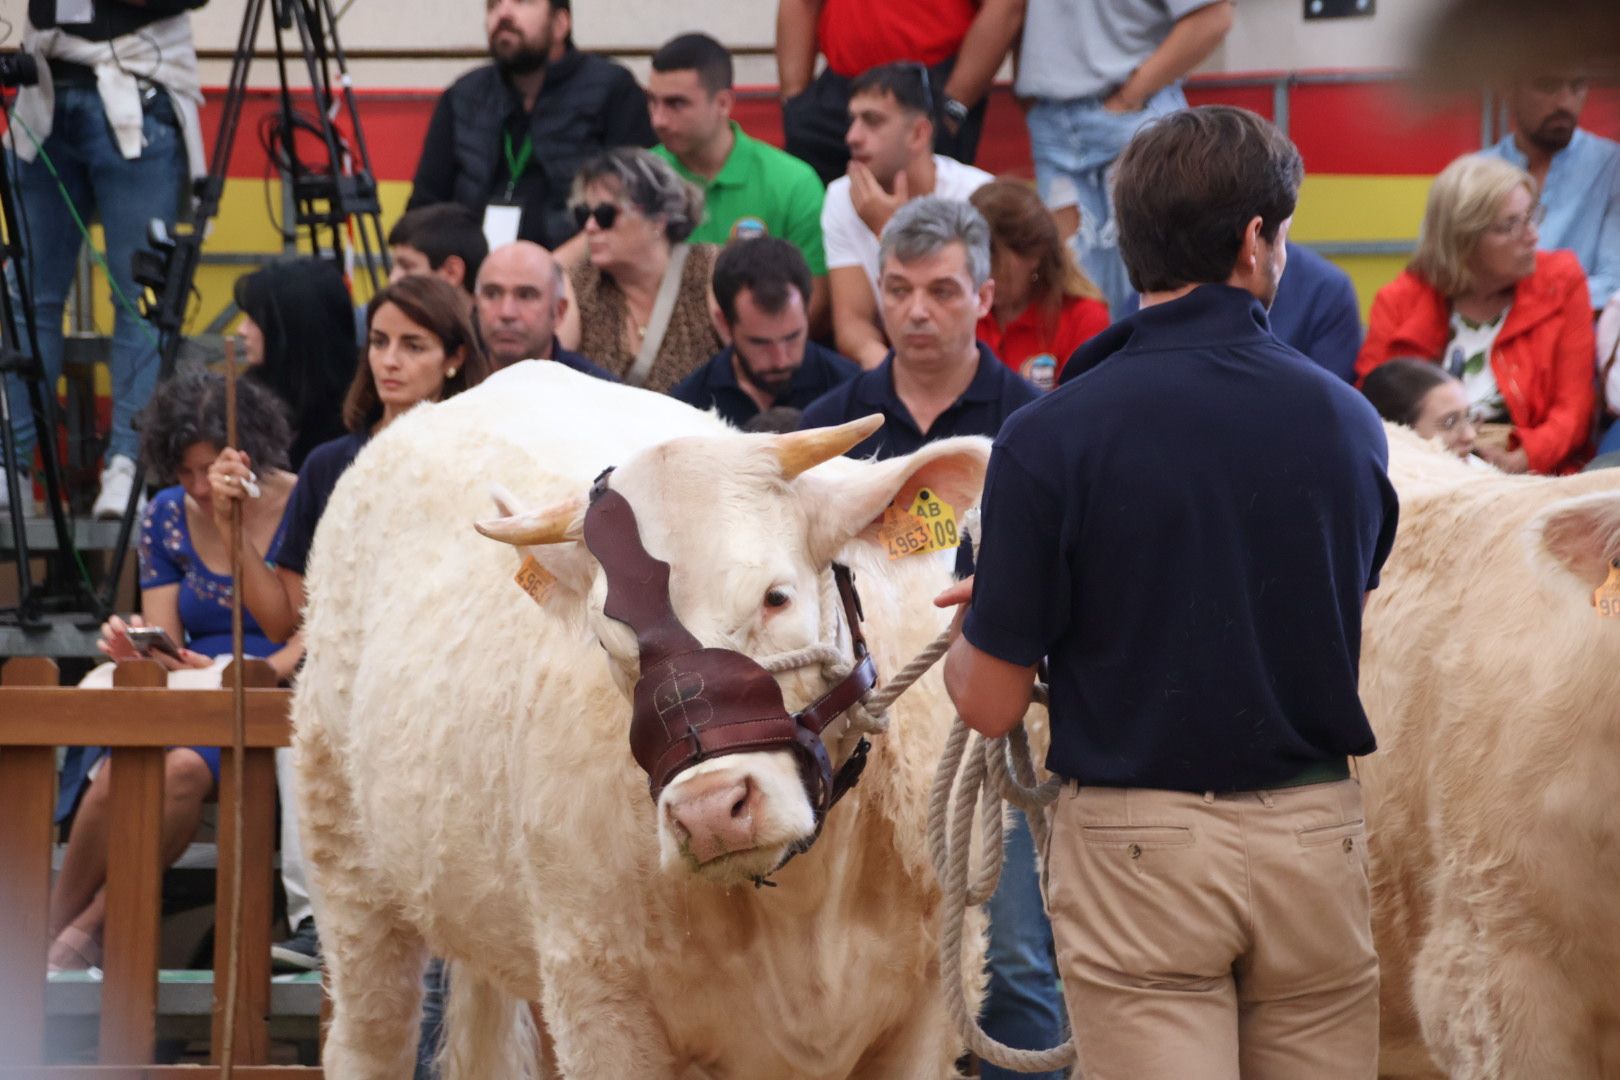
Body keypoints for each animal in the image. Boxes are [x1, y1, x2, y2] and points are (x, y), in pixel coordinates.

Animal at [298, 362, 991, 1080]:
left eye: (775, 596)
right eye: (611, 644)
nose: (711, 812)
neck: (803, 904)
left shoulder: (932, 1008)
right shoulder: (598, 998)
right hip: (347, 867)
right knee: (370, 1033)